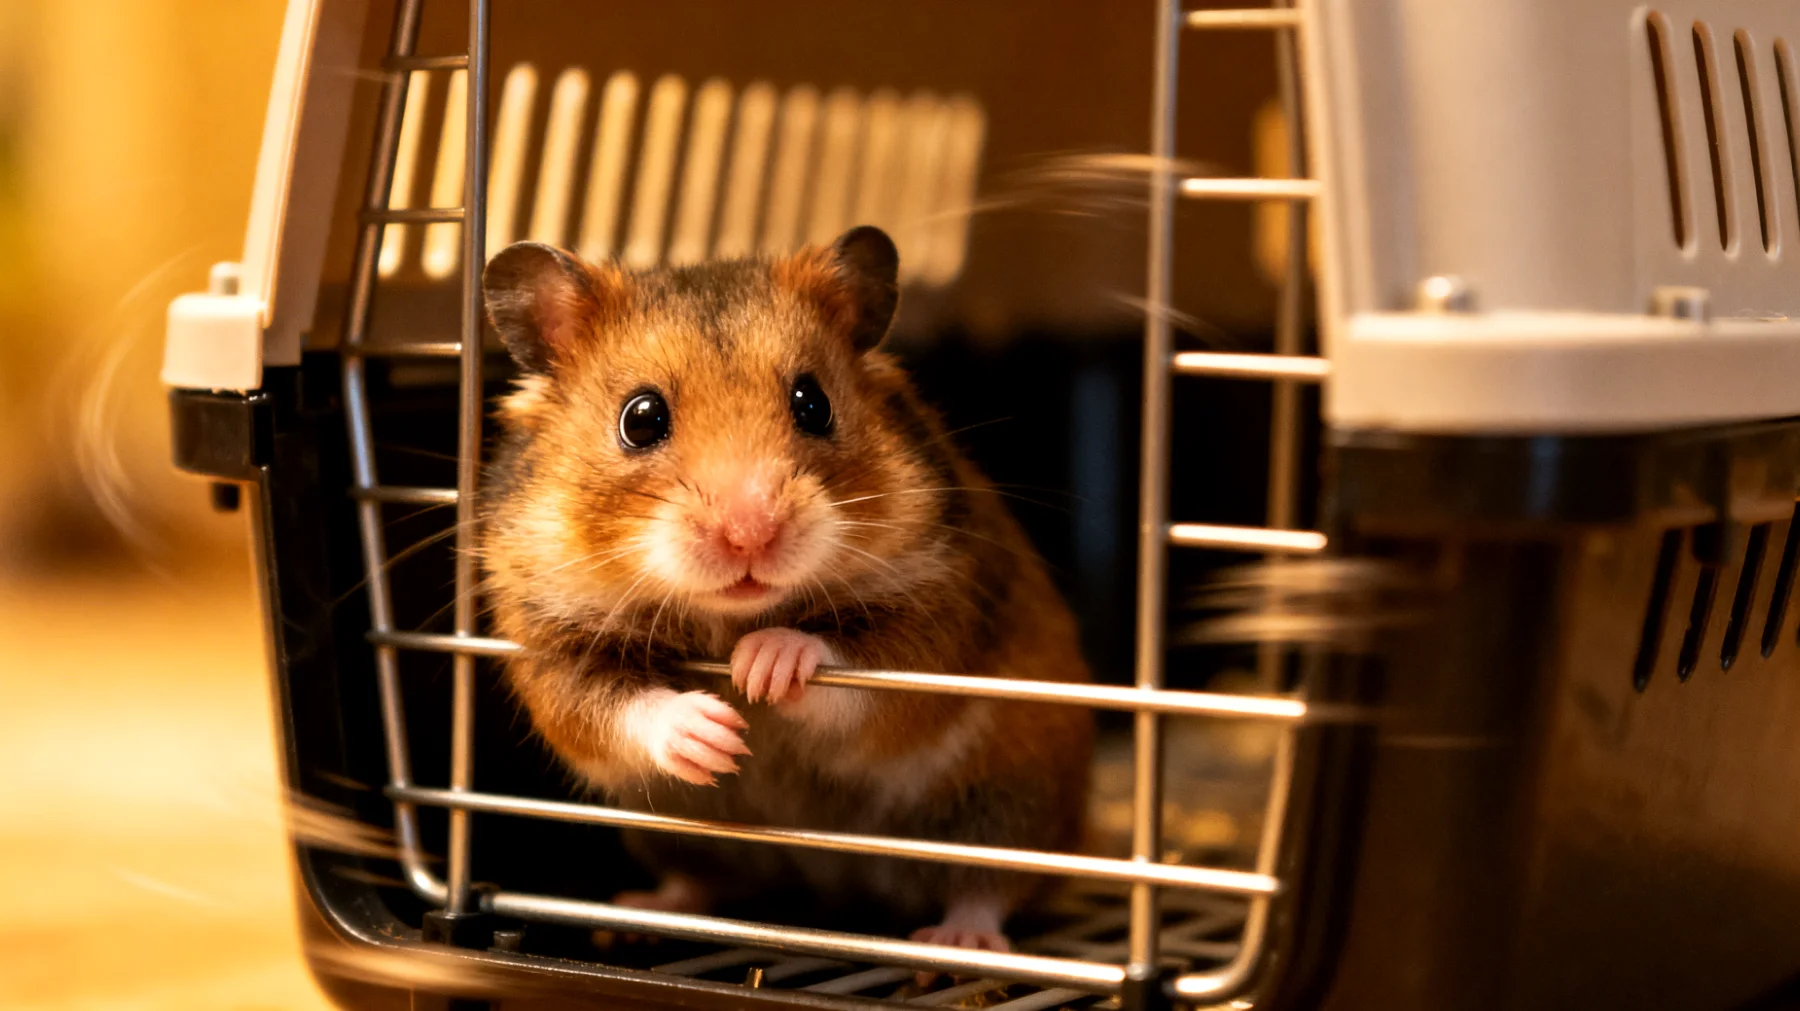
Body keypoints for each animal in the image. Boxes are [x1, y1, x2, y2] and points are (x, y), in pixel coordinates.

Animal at [478, 225, 1093, 956]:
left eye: (813, 403)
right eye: (640, 418)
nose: (751, 536)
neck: (726, 617)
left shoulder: (935, 606)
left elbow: (852, 672)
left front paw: (761, 670)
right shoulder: (550, 639)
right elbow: (609, 708)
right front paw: (718, 734)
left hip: (1005, 796)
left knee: (990, 882)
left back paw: (955, 945)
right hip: (679, 838)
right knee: (703, 879)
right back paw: (636, 917)